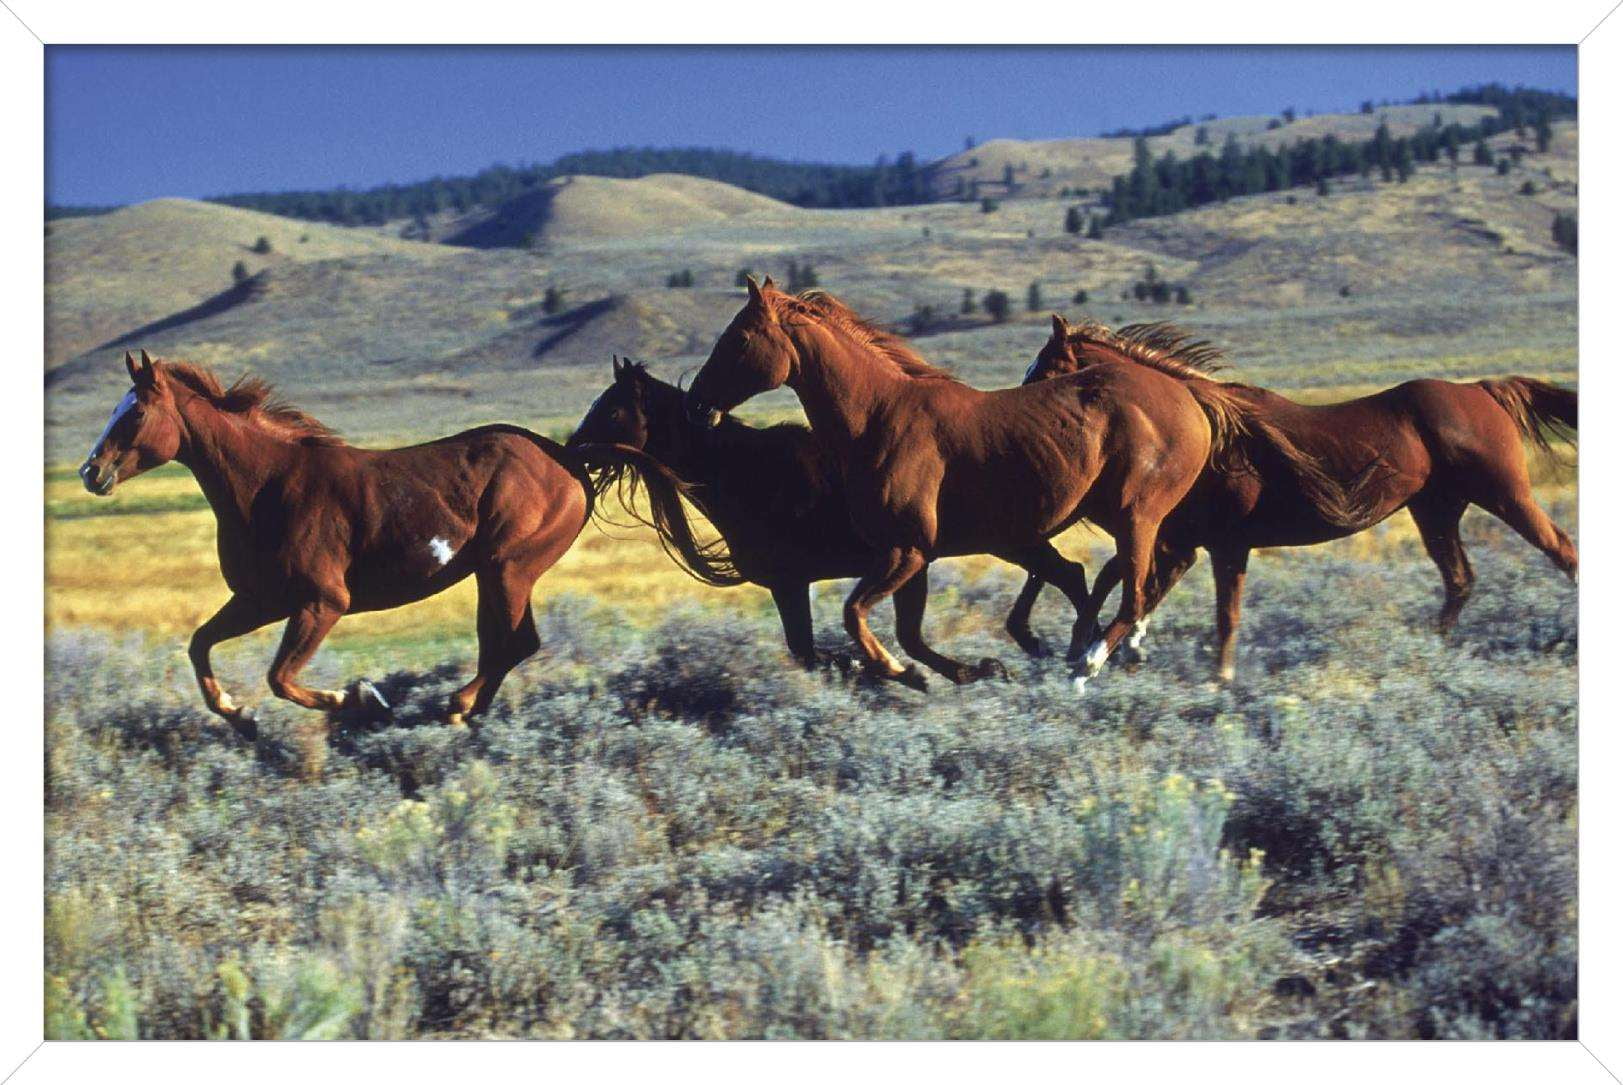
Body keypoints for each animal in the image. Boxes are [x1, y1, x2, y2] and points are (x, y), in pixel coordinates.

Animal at [78, 351, 591, 735]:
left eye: (136, 412)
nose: (91, 472)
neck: (268, 486)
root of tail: (566, 458)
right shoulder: (260, 600)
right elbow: (199, 644)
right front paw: (241, 716)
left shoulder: (322, 602)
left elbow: (280, 678)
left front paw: (363, 698)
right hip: (496, 573)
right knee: (502, 643)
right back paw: (469, 711)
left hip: (509, 567)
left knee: (514, 643)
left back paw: (456, 706)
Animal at [566, 357, 1030, 687]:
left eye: (611, 411)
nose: (571, 452)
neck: (748, 475)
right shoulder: (807, 581)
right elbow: (819, 650)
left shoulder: (791, 582)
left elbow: (812, 650)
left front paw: (884, 670)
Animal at [682, 277, 1254, 692]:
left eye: (740, 339)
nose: (697, 404)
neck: (879, 418)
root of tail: (1190, 396)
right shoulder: (911, 556)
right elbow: (899, 629)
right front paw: (935, 672)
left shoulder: (906, 550)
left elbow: (855, 615)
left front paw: (898, 672)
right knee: (1108, 583)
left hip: (1136, 517)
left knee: (1133, 595)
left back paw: (1085, 666)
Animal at [1016, 316, 1577, 681]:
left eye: (1046, 367)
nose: (1019, 408)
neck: (1211, 431)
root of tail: (1483, 389)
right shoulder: (1185, 540)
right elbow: (1137, 586)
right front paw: (1112, 651)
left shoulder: (1222, 544)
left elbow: (1221, 614)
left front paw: (1215, 679)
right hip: (1436, 510)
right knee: (1460, 579)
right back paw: (1432, 652)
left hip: (1504, 494)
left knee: (1561, 550)